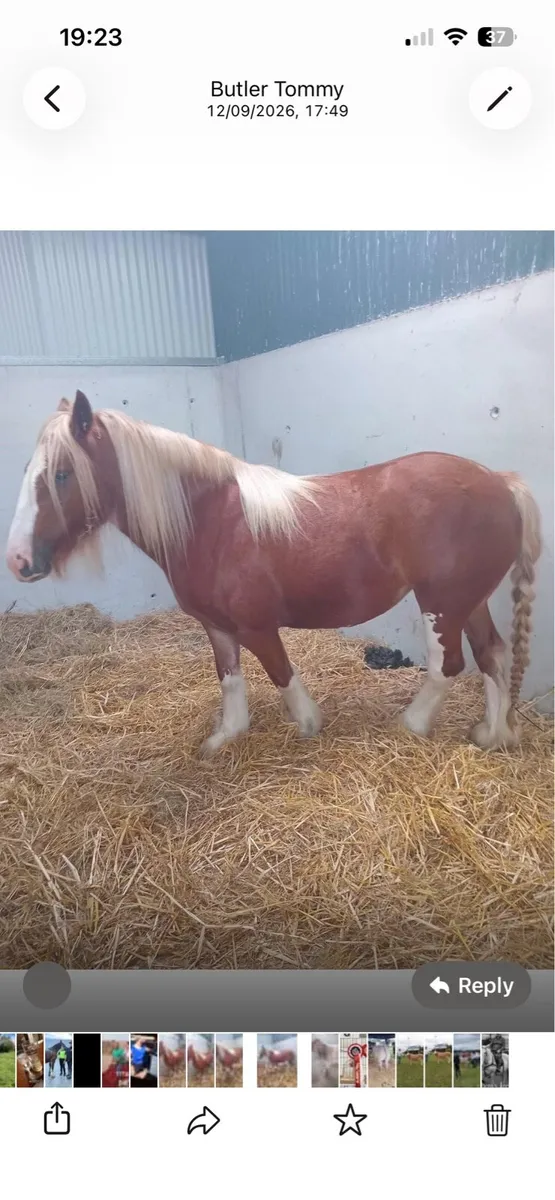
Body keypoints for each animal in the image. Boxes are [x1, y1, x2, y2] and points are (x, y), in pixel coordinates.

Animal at [6, 393, 542, 757]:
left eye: (61, 474)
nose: (17, 561)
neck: (209, 520)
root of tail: (501, 482)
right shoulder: (217, 626)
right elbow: (229, 678)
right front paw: (226, 737)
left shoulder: (257, 626)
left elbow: (281, 673)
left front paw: (307, 725)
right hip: (468, 602)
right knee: (492, 655)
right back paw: (493, 736)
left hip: (441, 604)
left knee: (447, 665)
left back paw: (411, 724)